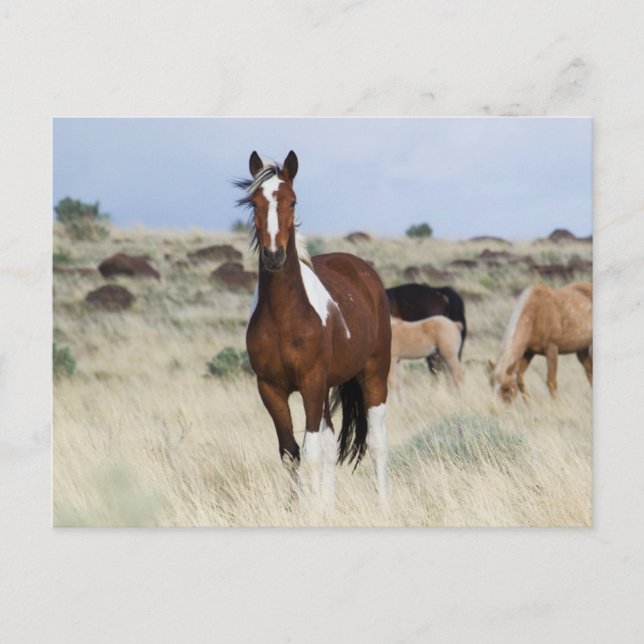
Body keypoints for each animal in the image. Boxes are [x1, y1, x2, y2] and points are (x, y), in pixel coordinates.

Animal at [238, 151, 392, 507]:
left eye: (292, 201)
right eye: (254, 202)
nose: (274, 256)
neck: (285, 317)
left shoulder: (310, 383)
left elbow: (309, 454)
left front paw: (310, 509)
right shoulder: (271, 389)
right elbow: (290, 453)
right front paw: (301, 508)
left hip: (374, 375)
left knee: (377, 442)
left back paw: (383, 507)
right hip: (325, 389)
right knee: (330, 442)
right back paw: (329, 505)